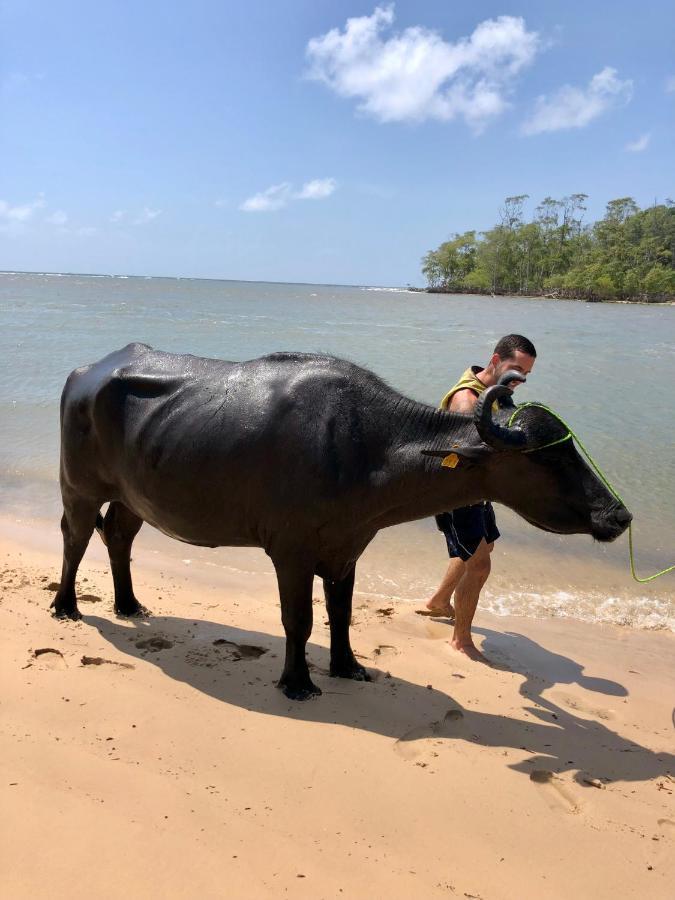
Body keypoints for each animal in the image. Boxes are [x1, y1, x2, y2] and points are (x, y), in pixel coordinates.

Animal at [54, 342, 632, 700]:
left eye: (570, 447)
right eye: (544, 457)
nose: (619, 514)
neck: (365, 449)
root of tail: (85, 373)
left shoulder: (347, 549)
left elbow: (341, 613)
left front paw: (348, 667)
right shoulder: (289, 552)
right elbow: (299, 619)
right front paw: (297, 681)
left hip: (133, 497)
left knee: (119, 536)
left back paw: (129, 604)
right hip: (79, 488)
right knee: (77, 537)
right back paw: (66, 607)